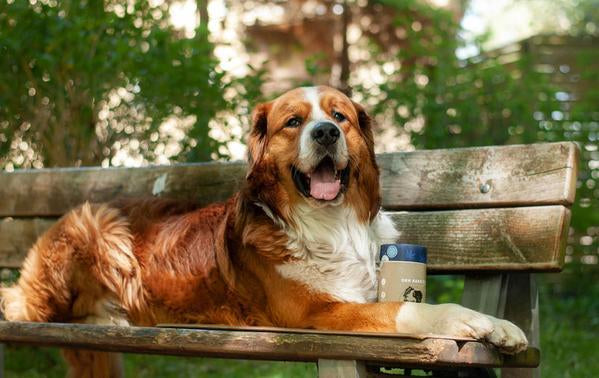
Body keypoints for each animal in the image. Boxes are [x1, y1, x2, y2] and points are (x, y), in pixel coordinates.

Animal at [0, 86, 528, 376]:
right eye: (293, 122)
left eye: (339, 117)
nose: (325, 133)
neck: (333, 224)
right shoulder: (321, 313)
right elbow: (410, 310)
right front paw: (473, 322)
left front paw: (501, 326)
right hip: (93, 231)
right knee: (17, 301)